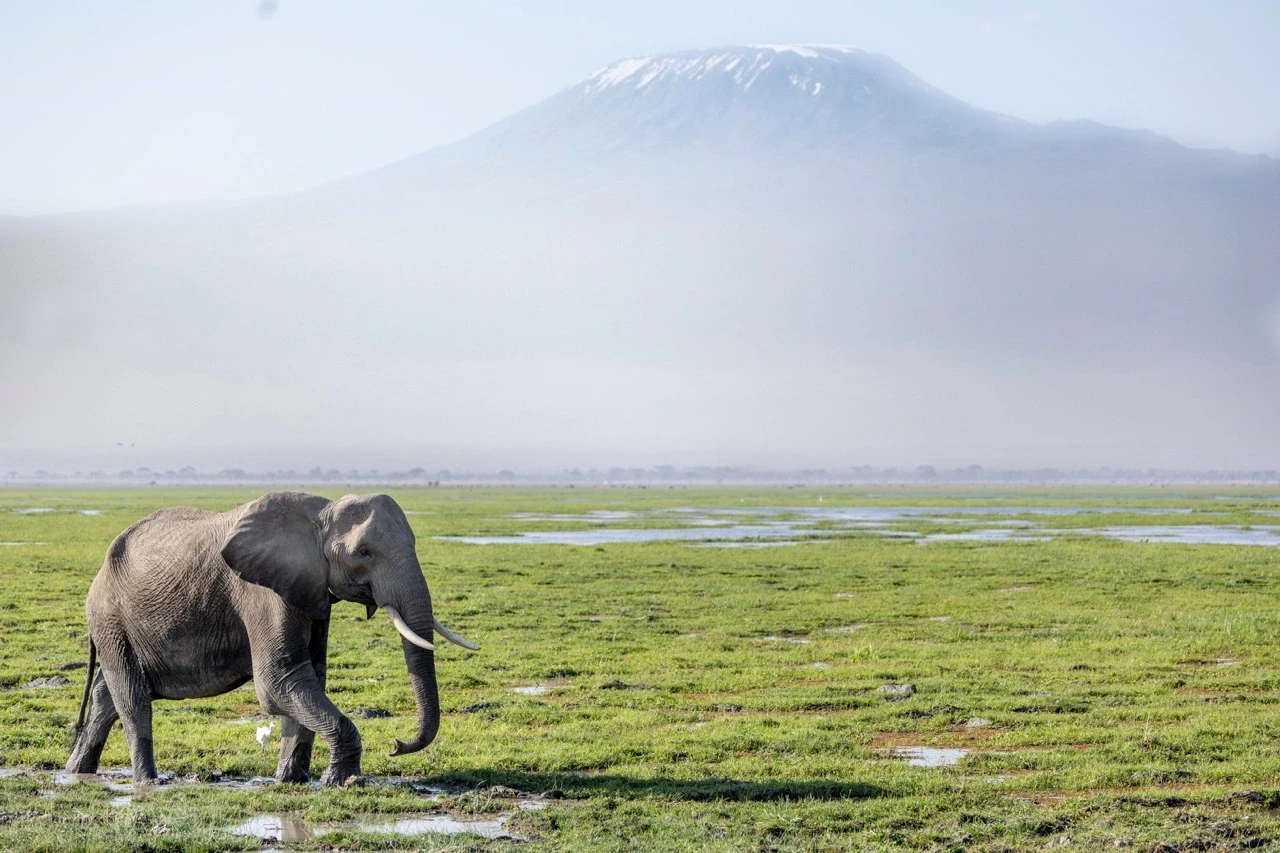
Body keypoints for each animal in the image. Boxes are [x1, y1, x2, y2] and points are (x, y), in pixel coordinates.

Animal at [65, 491, 478, 786]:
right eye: (363, 552)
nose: (395, 745)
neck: (319, 514)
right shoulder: (262, 591)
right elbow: (281, 680)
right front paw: (343, 781)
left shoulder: (309, 588)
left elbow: (309, 675)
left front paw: (291, 780)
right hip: (109, 616)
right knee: (132, 694)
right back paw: (148, 782)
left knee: (107, 695)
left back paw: (76, 772)